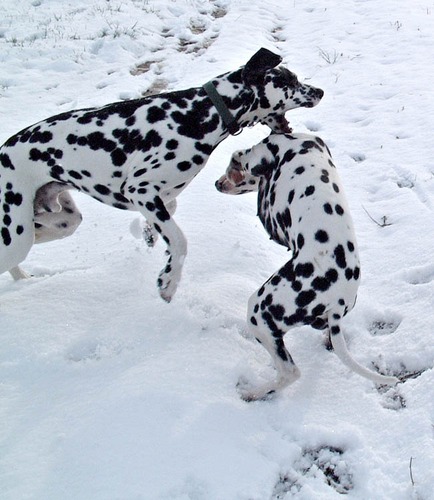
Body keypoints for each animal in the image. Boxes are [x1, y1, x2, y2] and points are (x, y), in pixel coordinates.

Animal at [0, 48, 322, 302]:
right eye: (289, 80)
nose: (319, 92)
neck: (196, 114)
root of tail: (3, 152)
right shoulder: (140, 190)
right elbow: (179, 241)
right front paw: (168, 282)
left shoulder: (159, 198)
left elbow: (167, 219)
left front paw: (151, 237)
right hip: (16, 236)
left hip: (60, 221)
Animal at [215, 131, 398, 400]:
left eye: (231, 171)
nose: (217, 184)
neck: (293, 143)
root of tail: (338, 300)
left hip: (259, 313)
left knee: (289, 372)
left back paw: (253, 393)